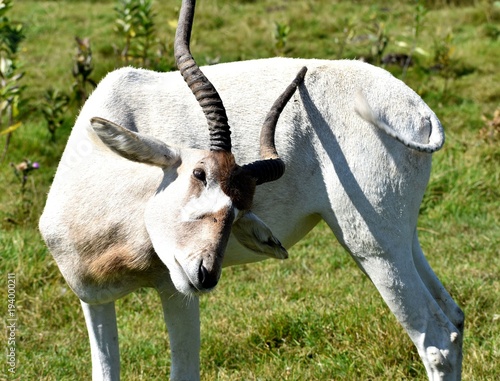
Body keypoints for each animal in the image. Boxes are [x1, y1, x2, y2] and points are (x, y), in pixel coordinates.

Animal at [40, 0, 464, 380]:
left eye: (238, 210)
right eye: (199, 174)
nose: (206, 275)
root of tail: (418, 110)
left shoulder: (176, 291)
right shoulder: (94, 299)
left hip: (374, 249)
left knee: (437, 340)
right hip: (400, 240)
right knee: (454, 317)